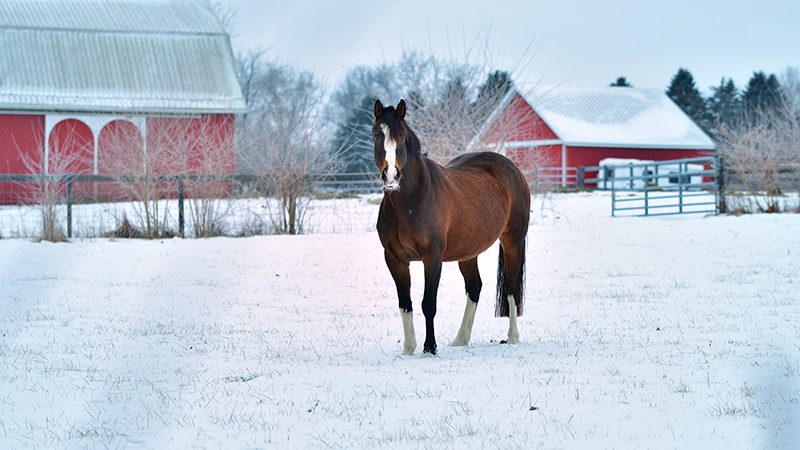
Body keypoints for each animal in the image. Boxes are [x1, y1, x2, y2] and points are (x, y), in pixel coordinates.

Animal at [373, 99, 531, 355]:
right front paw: (408, 349)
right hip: (468, 253)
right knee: (475, 287)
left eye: (402, 136)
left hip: (513, 241)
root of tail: (512, 169)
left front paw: (429, 348)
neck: (409, 201)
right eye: (377, 135)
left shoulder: (432, 257)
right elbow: (405, 304)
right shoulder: (395, 259)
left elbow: (428, 303)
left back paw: (512, 337)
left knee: (511, 287)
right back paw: (461, 339)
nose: (391, 176)